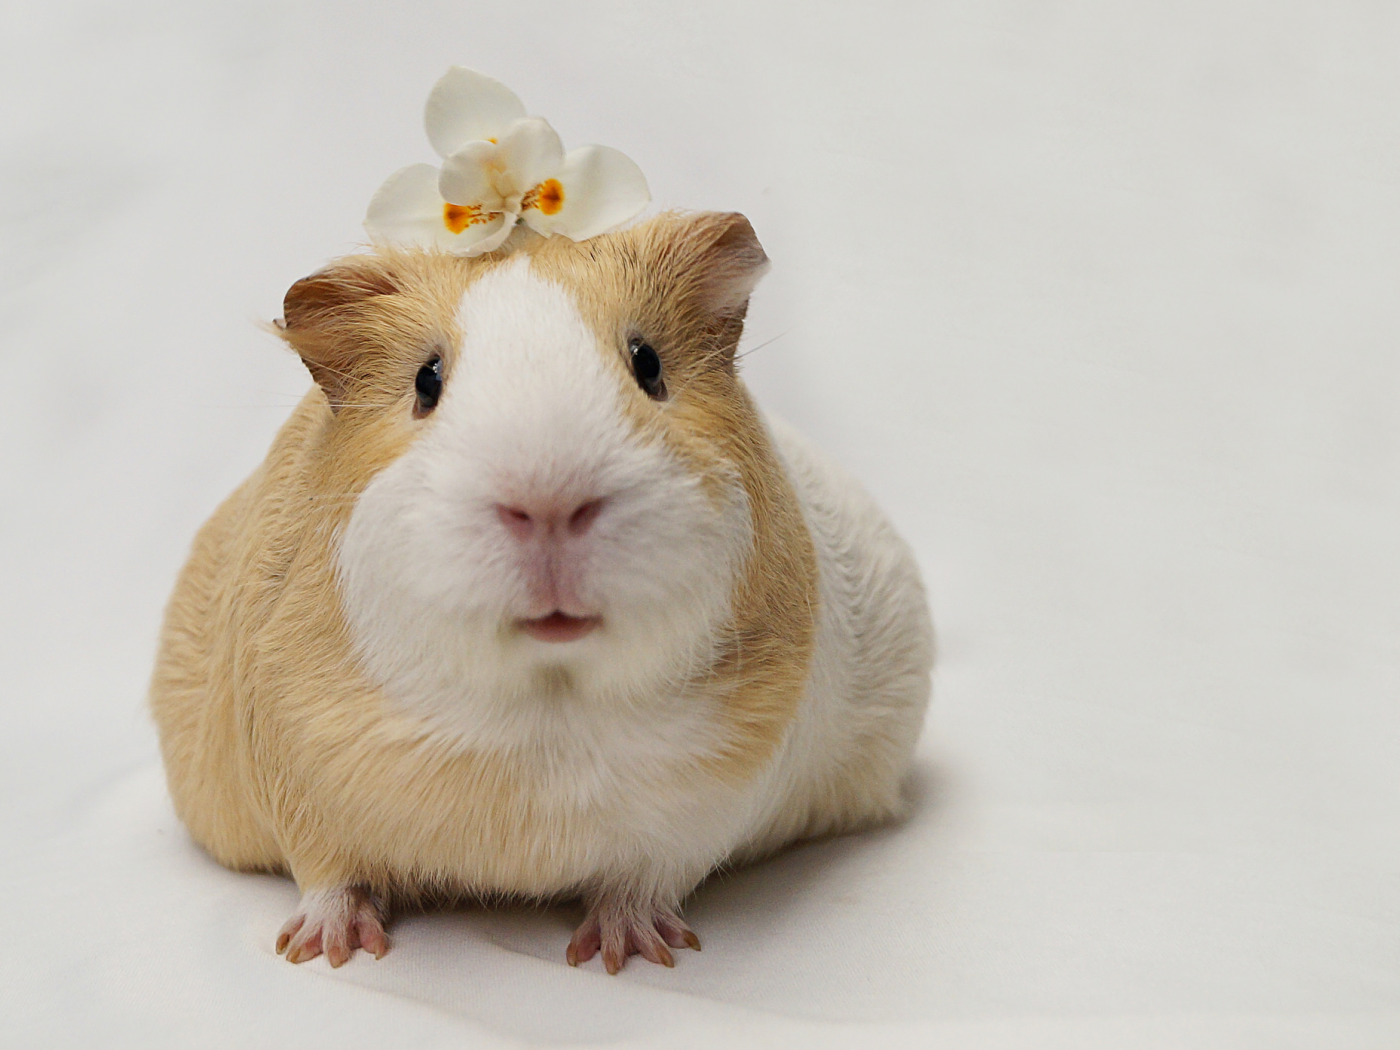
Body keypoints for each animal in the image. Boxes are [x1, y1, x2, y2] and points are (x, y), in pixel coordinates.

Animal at [149, 211, 933, 973]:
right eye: (426, 382)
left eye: (648, 364)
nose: (549, 503)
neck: (546, 714)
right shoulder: (295, 772)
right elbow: (327, 872)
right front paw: (326, 950)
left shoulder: (701, 809)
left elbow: (645, 877)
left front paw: (627, 952)